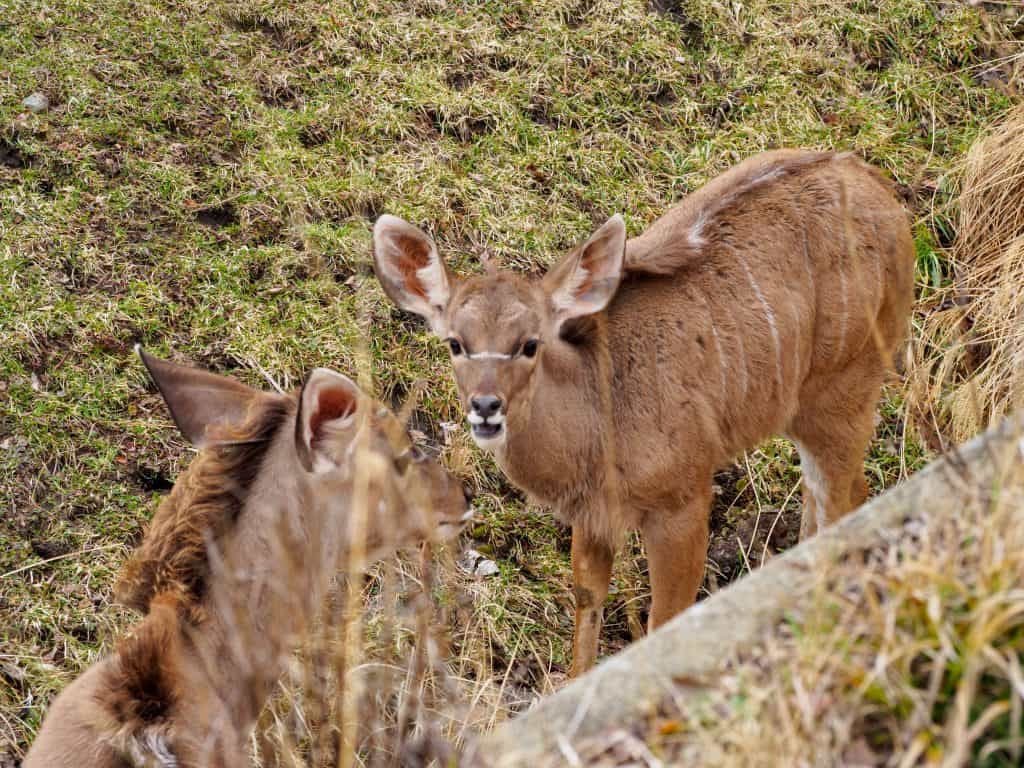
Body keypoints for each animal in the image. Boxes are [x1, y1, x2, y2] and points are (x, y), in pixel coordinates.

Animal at [372, 148, 917, 671]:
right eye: (455, 343)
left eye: (529, 343)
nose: (486, 408)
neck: (600, 419)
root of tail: (883, 194)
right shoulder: (594, 517)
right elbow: (587, 599)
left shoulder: (683, 498)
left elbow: (665, 616)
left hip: (844, 388)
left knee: (841, 496)